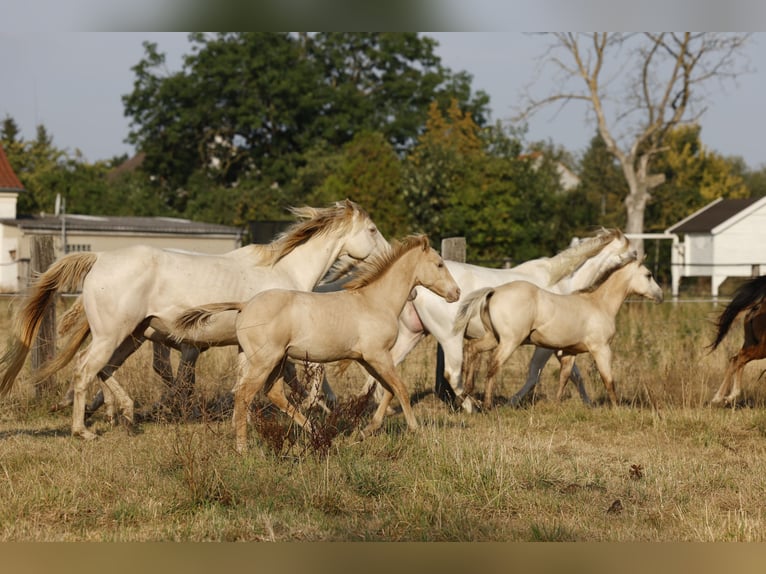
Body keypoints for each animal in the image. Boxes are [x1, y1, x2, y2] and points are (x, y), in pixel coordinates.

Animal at [0, 200, 386, 440]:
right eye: (372, 229)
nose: (389, 254)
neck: (284, 271)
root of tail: (99, 259)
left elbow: (251, 384)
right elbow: (300, 377)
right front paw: (312, 411)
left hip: (132, 335)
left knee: (105, 370)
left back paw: (128, 415)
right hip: (113, 334)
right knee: (84, 370)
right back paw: (84, 430)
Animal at [173, 235, 461, 453]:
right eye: (438, 264)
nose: (456, 293)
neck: (375, 301)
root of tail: (245, 306)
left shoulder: (367, 358)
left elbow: (388, 389)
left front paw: (364, 432)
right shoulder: (378, 355)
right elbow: (399, 388)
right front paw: (415, 430)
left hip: (269, 360)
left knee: (271, 393)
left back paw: (313, 432)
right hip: (264, 360)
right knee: (245, 395)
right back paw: (243, 448)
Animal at [361, 228, 635, 412]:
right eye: (633, 253)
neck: (560, 282)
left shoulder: (563, 343)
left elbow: (575, 375)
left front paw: (588, 403)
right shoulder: (545, 345)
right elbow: (535, 374)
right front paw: (512, 402)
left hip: (412, 334)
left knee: (384, 365)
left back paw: (375, 404)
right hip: (450, 338)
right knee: (452, 373)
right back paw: (471, 406)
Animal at [453, 255, 663, 408]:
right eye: (648, 275)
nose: (660, 295)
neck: (599, 304)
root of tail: (494, 291)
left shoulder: (569, 352)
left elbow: (565, 377)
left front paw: (556, 405)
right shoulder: (601, 349)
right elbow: (608, 380)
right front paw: (617, 408)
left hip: (492, 337)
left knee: (472, 349)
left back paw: (465, 394)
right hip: (509, 342)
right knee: (493, 365)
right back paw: (487, 404)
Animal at [709, 275, 766, 407]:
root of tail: (758, 306)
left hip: (751, 343)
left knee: (739, 359)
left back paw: (730, 396)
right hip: (762, 348)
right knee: (737, 359)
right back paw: (719, 398)